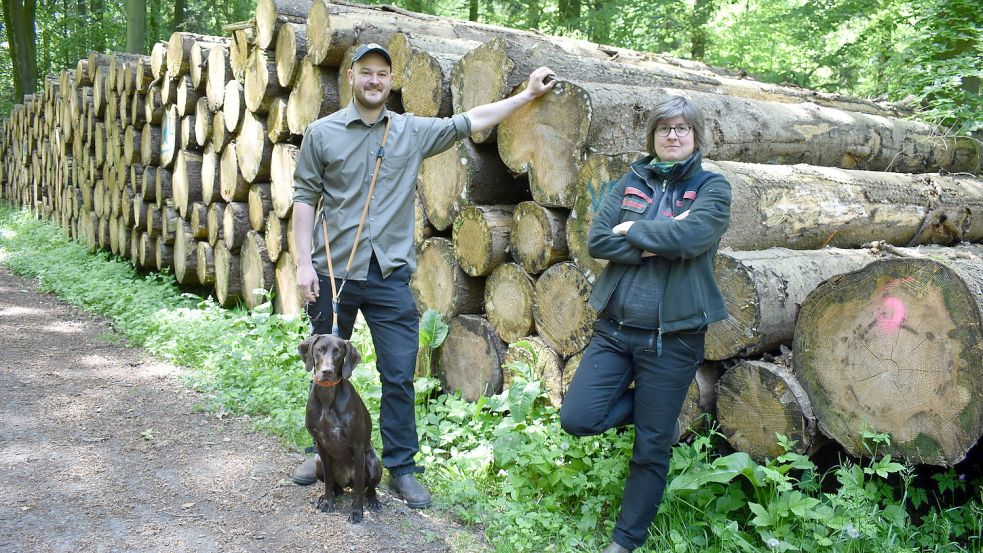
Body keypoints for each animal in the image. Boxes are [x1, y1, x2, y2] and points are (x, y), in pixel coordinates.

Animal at [298, 332, 382, 520]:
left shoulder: (358, 447)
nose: (327, 371)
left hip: (373, 463)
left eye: (339, 351)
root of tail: (347, 480)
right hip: (318, 463)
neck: (327, 397)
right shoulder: (321, 445)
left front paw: (357, 512)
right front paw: (328, 501)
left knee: (368, 488)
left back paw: (372, 500)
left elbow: (359, 487)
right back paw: (329, 495)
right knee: (337, 486)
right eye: (320, 349)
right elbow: (329, 481)